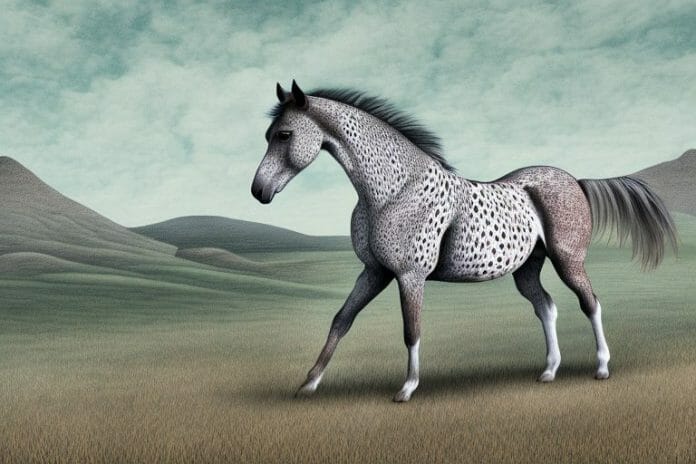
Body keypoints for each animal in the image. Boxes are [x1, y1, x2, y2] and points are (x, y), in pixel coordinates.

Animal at [251, 80, 678, 402]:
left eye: (285, 134)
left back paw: (602, 367)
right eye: (268, 135)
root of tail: (576, 180)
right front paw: (309, 382)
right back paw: (548, 371)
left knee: (590, 303)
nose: (259, 191)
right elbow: (341, 320)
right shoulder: (374, 272)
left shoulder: (409, 277)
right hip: (527, 268)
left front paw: (407, 389)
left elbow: (411, 330)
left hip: (567, 259)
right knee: (547, 308)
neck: (394, 190)